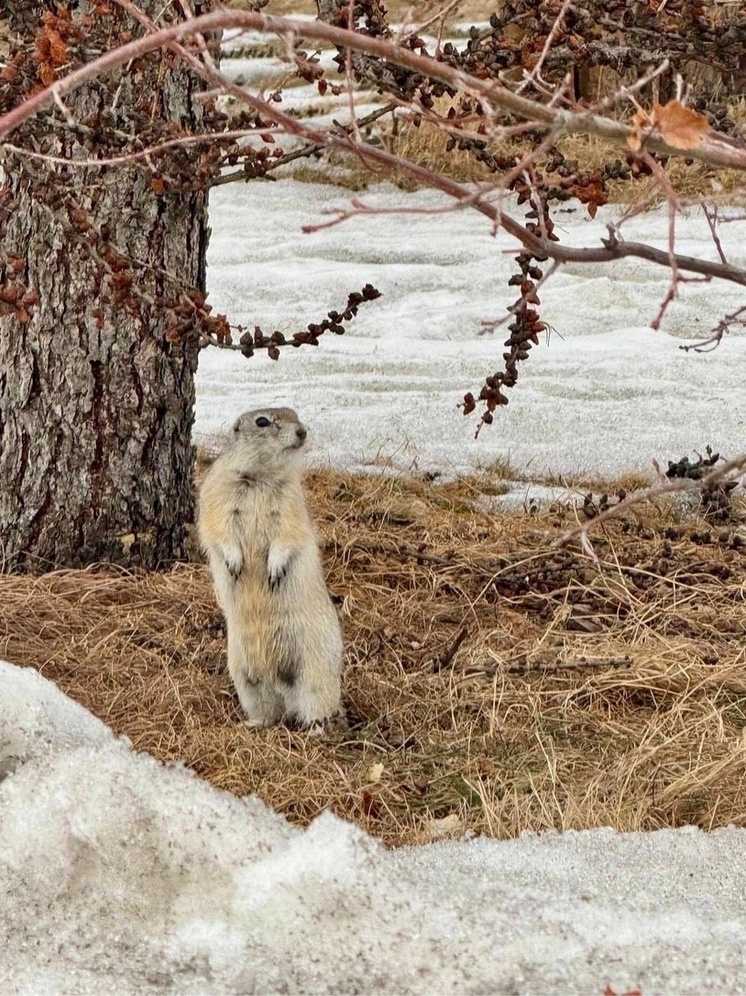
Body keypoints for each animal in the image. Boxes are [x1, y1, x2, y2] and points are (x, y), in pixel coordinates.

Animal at [195, 408, 340, 728]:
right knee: (271, 713)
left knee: (315, 706)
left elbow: (287, 534)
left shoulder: (291, 503)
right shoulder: (217, 493)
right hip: (245, 678)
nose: (302, 432)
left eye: (295, 413)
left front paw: (273, 570)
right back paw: (252, 723)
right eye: (262, 421)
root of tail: (282, 686)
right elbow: (219, 528)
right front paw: (235, 563)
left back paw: (316, 728)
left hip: (317, 672)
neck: (260, 476)